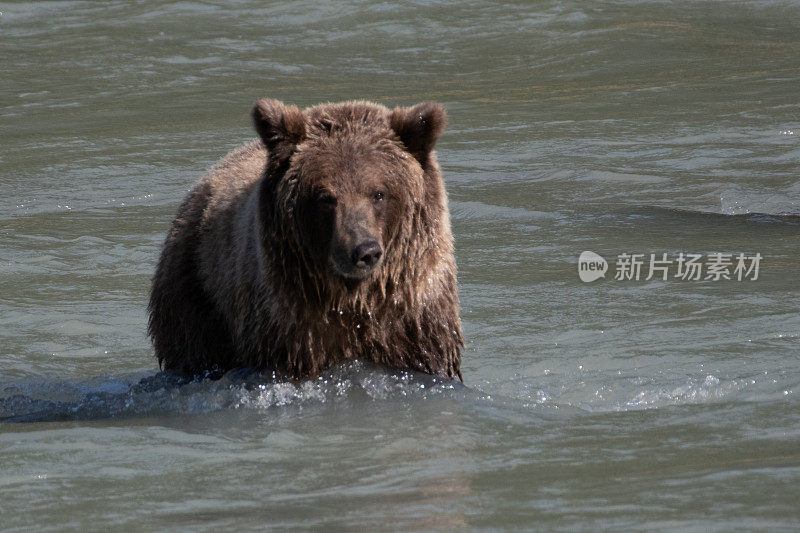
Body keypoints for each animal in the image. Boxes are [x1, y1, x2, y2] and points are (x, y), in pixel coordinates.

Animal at [148, 100, 462, 380]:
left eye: (379, 193)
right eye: (326, 197)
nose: (363, 250)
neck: (354, 298)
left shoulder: (414, 320)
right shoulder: (291, 323)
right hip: (195, 291)